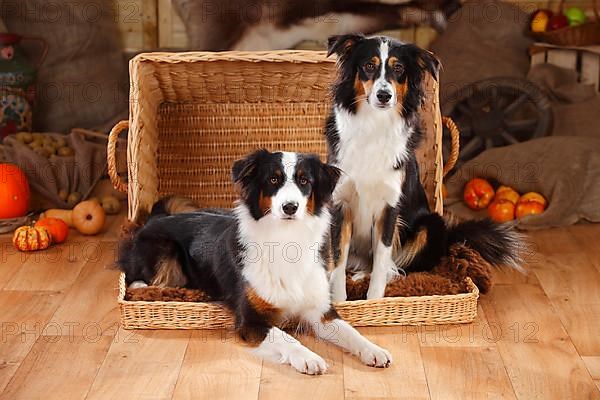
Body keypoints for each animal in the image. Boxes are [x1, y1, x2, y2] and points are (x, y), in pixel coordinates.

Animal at [119, 150, 392, 376]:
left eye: (305, 181)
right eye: (273, 180)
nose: (290, 207)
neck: (285, 239)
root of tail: (154, 218)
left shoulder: (320, 311)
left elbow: (350, 331)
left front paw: (373, 350)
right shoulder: (250, 320)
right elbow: (284, 336)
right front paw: (308, 357)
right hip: (165, 253)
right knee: (136, 275)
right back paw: (145, 288)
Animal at [326, 34, 524, 302]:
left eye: (399, 69)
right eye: (368, 66)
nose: (384, 95)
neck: (374, 124)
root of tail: (450, 237)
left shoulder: (389, 207)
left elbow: (381, 262)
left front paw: (374, 301)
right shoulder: (341, 204)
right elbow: (338, 261)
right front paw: (339, 300)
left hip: (430, 224)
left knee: (401, 267)